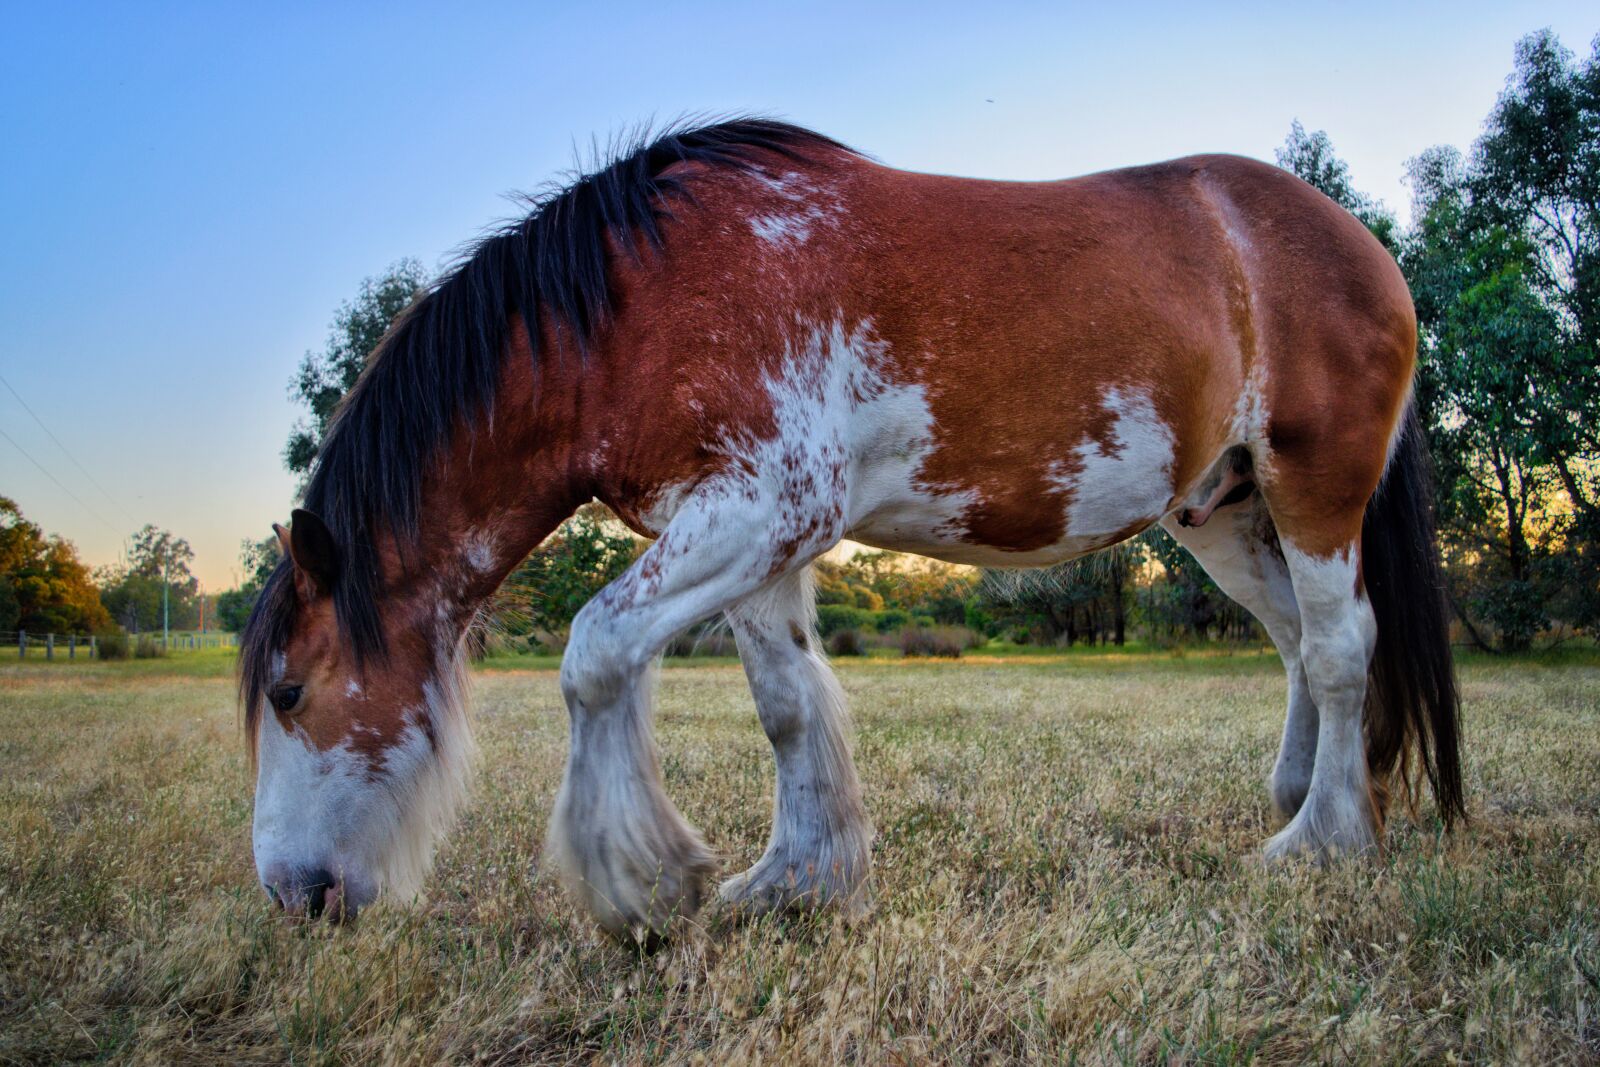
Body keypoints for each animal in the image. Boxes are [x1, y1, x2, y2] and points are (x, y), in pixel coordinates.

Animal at [240, 116, 1465, 934]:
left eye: (291, 691)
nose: (294, 894)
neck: (636, 304)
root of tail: (1361, 244)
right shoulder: (748, 535)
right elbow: (786, 705)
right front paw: (795, 878)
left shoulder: (765, 506)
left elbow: (594, 655)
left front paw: (640, 882)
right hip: (1223, 511)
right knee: (1297, 644)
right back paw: (1301, 798)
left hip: (1315, 488)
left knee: (1341, 646)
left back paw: (1322, 841)